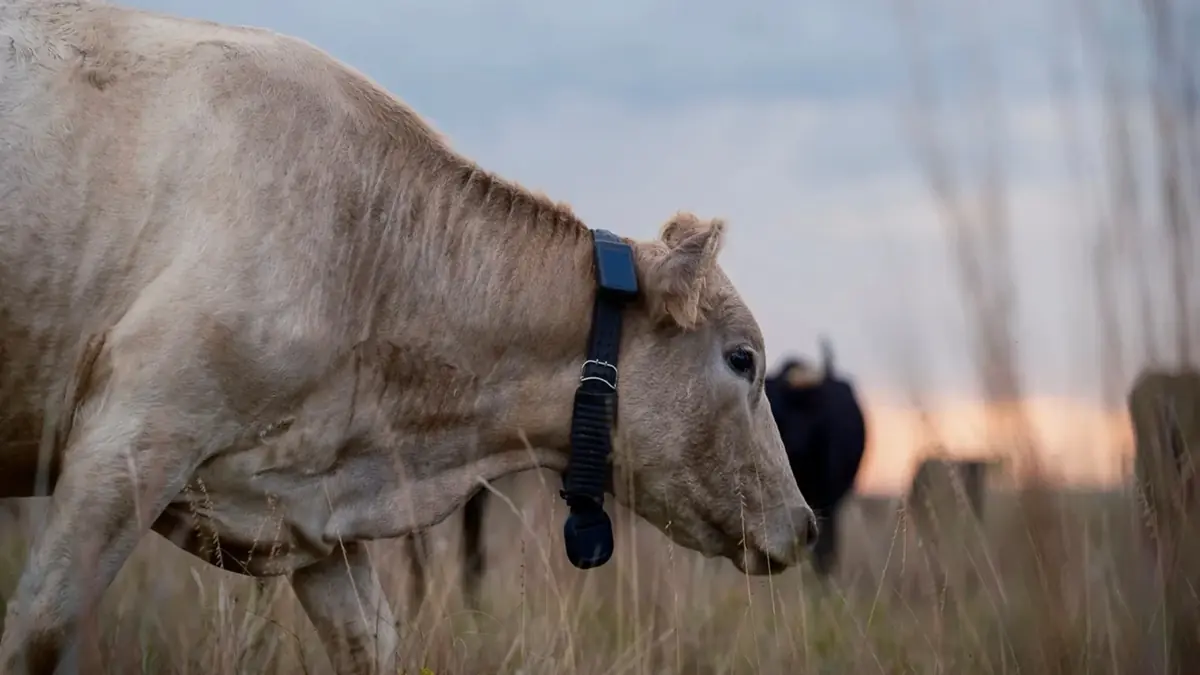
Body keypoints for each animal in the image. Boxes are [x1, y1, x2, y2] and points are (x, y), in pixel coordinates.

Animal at [0, 1, 817, 673]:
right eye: (742, 358)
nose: (805, 524)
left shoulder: (305, 507)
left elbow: (372, 639)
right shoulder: (135, 435)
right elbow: (39, 629)